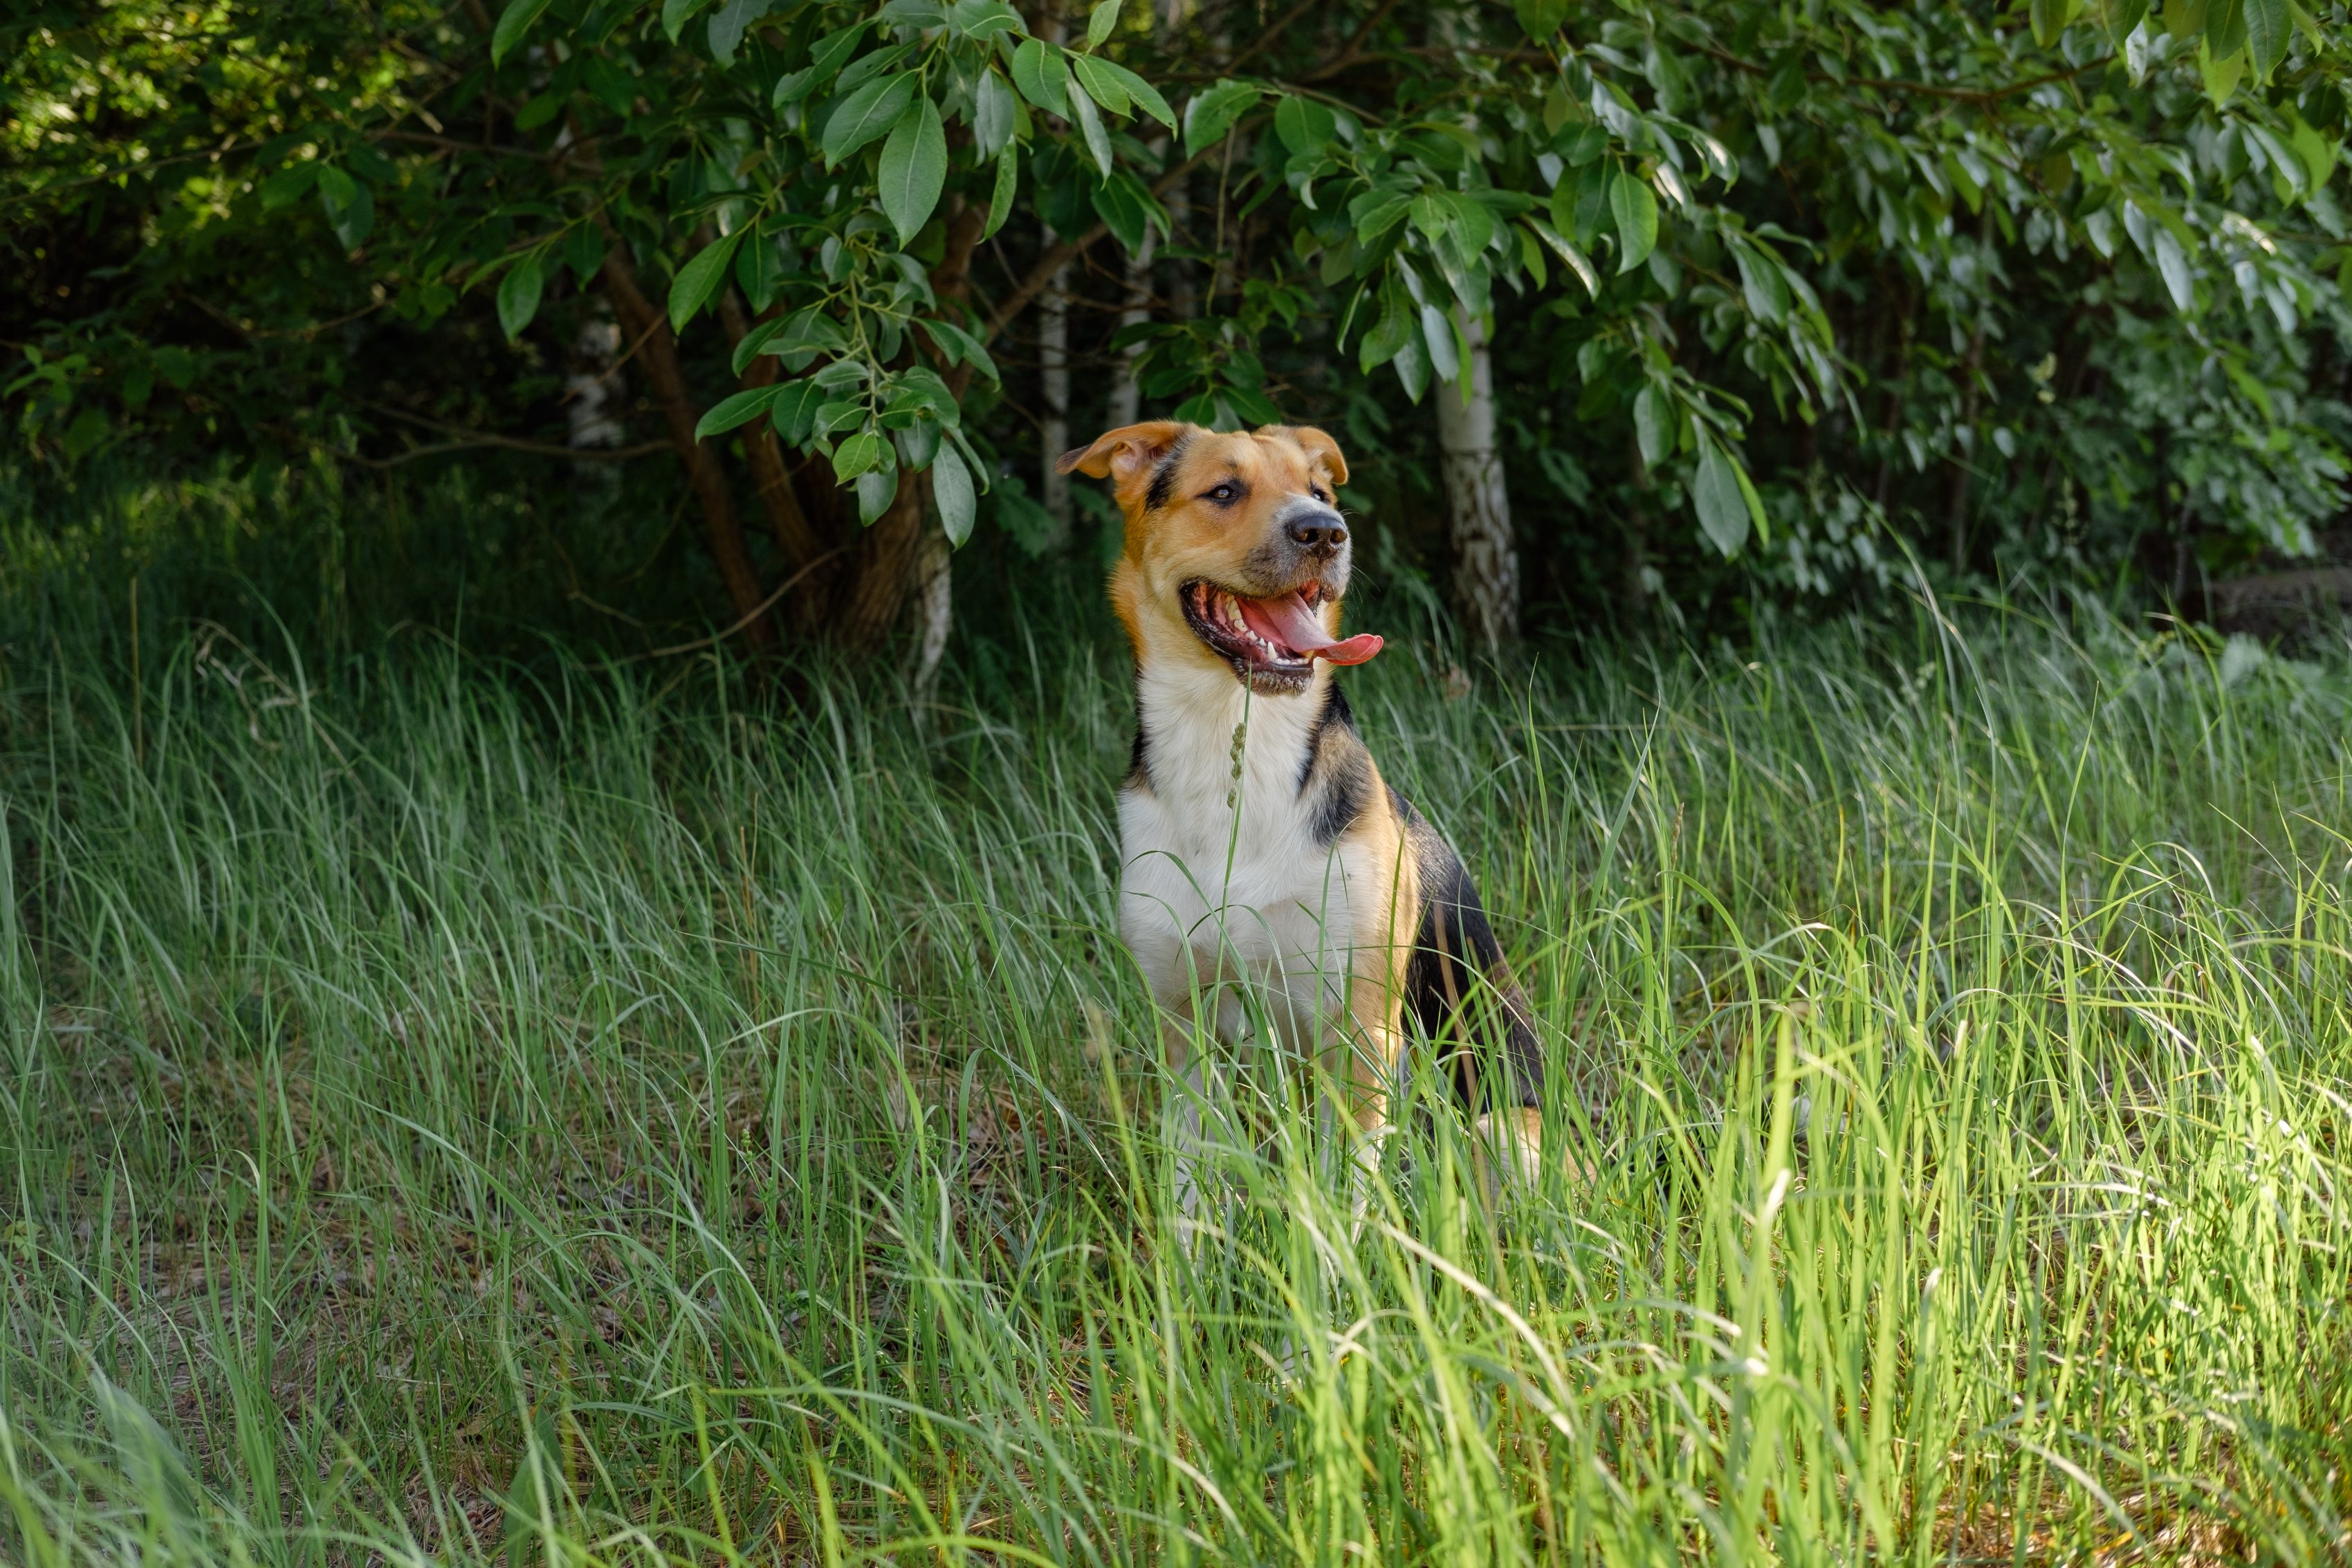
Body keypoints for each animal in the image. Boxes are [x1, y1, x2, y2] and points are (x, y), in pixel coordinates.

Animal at [1063, 421, 1543, 1203]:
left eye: (1318, 491)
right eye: (1224, 491)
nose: (1326, 531)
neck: (1236, 739)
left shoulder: (1362, 1028)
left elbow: (1345, 1193)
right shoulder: (1185, 1024)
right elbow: (1191, 1191)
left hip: (1503, 1127)